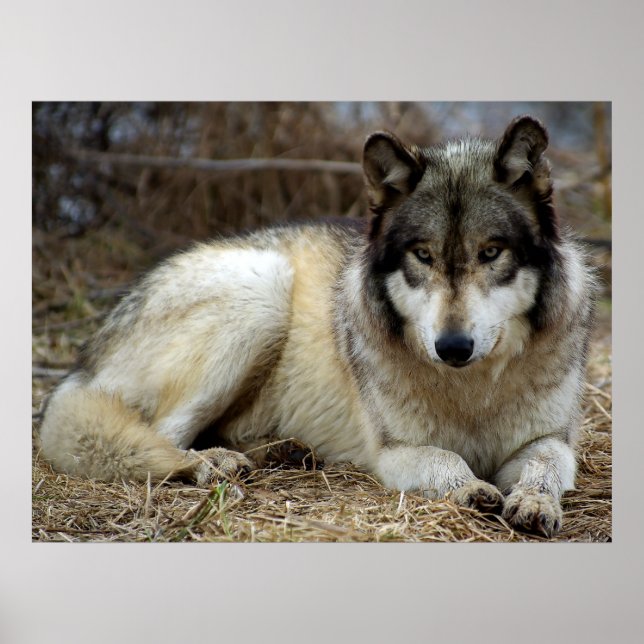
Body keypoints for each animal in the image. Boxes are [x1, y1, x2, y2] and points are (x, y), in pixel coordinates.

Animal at [39, 115, 596, 537]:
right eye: (423, 255)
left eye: (491, 253)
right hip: (262, 290)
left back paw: (279, 451)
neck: (472, 391)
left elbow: (545, 467)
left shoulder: (551, 439)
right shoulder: (394, 452)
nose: (453, 347)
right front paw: (471, 488)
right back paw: (211, 464)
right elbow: (445, 459)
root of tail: (84, 361)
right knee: (157, 436)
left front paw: (534, 503)